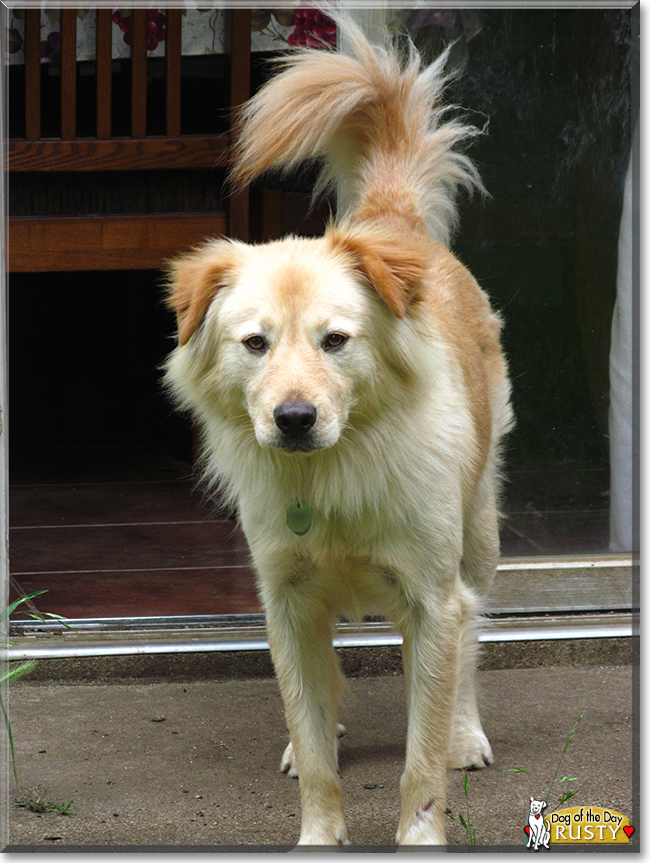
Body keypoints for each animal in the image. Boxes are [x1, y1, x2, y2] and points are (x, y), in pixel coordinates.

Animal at [166, 16, 512, 848]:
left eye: (335, 340)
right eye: (255, 343)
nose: (294, 419)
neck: (333, 471)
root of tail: (388, 220)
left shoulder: (431, 599)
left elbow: (421, 760)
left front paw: (421, 834)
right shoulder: (287, 602)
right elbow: (314, 726)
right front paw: (319, 831)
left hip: (479, 533)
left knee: (472, 638)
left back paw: (466, 732)